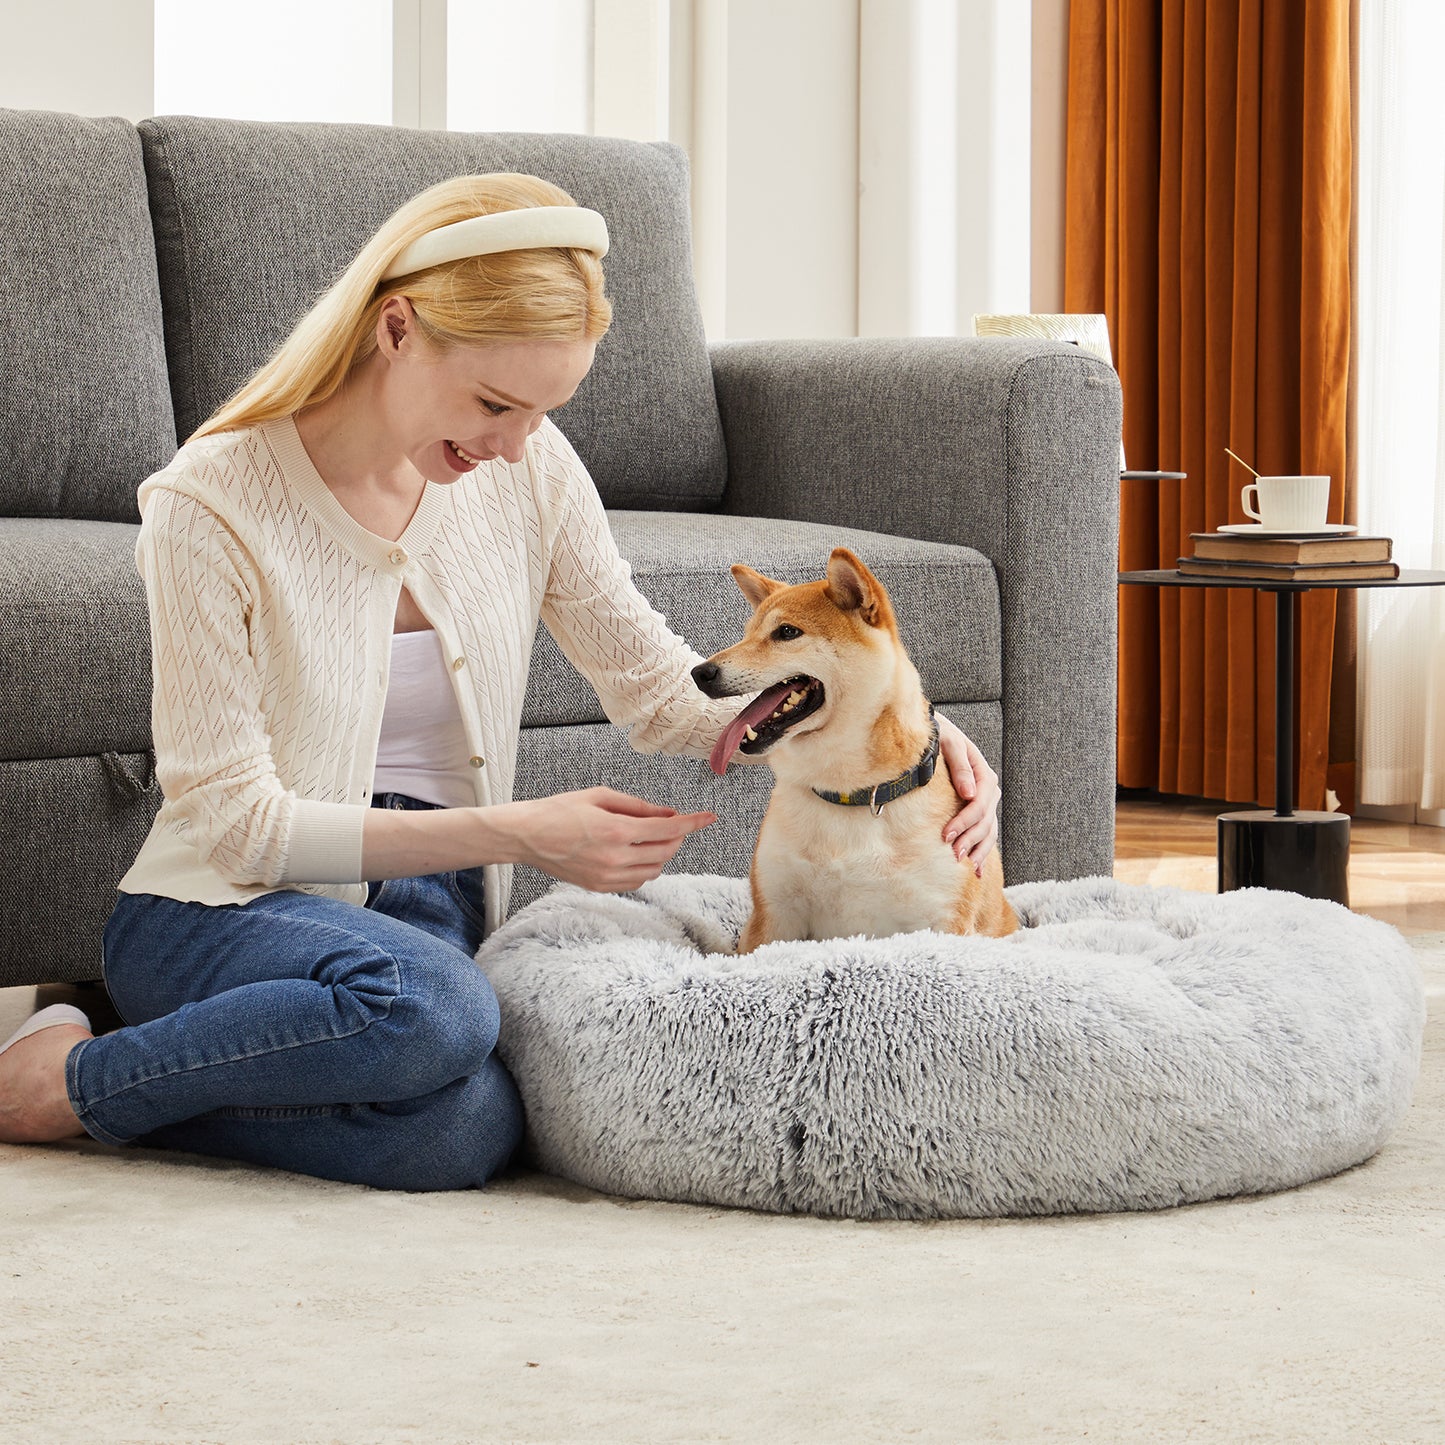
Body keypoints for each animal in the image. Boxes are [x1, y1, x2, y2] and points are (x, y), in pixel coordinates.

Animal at [687, 546, 1017, 953]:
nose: (701, 672)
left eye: (786, 632)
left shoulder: (944, 920)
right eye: (747, 634)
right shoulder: (774, 917)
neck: (850, 794)